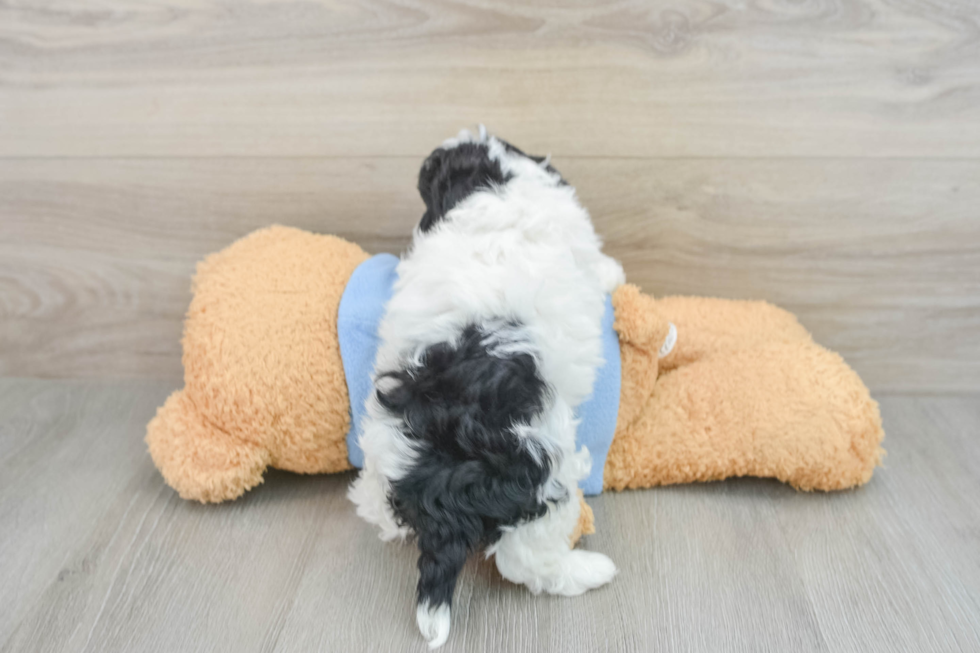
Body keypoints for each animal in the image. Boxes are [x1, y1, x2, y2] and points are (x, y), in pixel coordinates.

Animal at [348, 126, 620, 648]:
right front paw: (615, 273)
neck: (490, 182)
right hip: (543, 468)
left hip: (382, 455)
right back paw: (591, 570)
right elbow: (599, 264)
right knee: (525, 559)